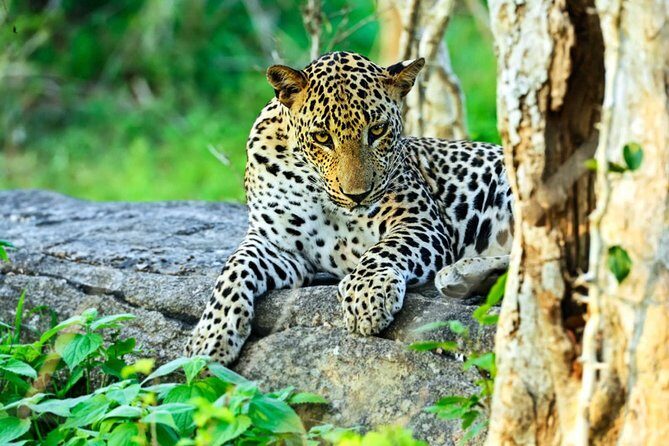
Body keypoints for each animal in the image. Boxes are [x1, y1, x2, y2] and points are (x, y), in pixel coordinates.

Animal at [186, 51, 513, 365]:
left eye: (378, 130)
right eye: (322, 137)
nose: (357, 195)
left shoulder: (421, 222)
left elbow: (385, 248)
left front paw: (367, 294)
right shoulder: (277, 245)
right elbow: (234, 268)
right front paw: (210, 336)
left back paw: (458, 275)